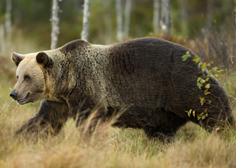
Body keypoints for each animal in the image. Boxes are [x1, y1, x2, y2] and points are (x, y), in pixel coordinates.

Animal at [9, 37, 234, 140]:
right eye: (17, 76)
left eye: (27, 77)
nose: (13, 94)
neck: (66, 81)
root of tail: (197, 57)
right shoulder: (59, 101)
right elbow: (44, 121)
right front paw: (19, 138)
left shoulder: (88, 88)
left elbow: (89, 121)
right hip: (162, 111)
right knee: (161, 133)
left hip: (182, 83)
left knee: (213, 109)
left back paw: (227, 132)